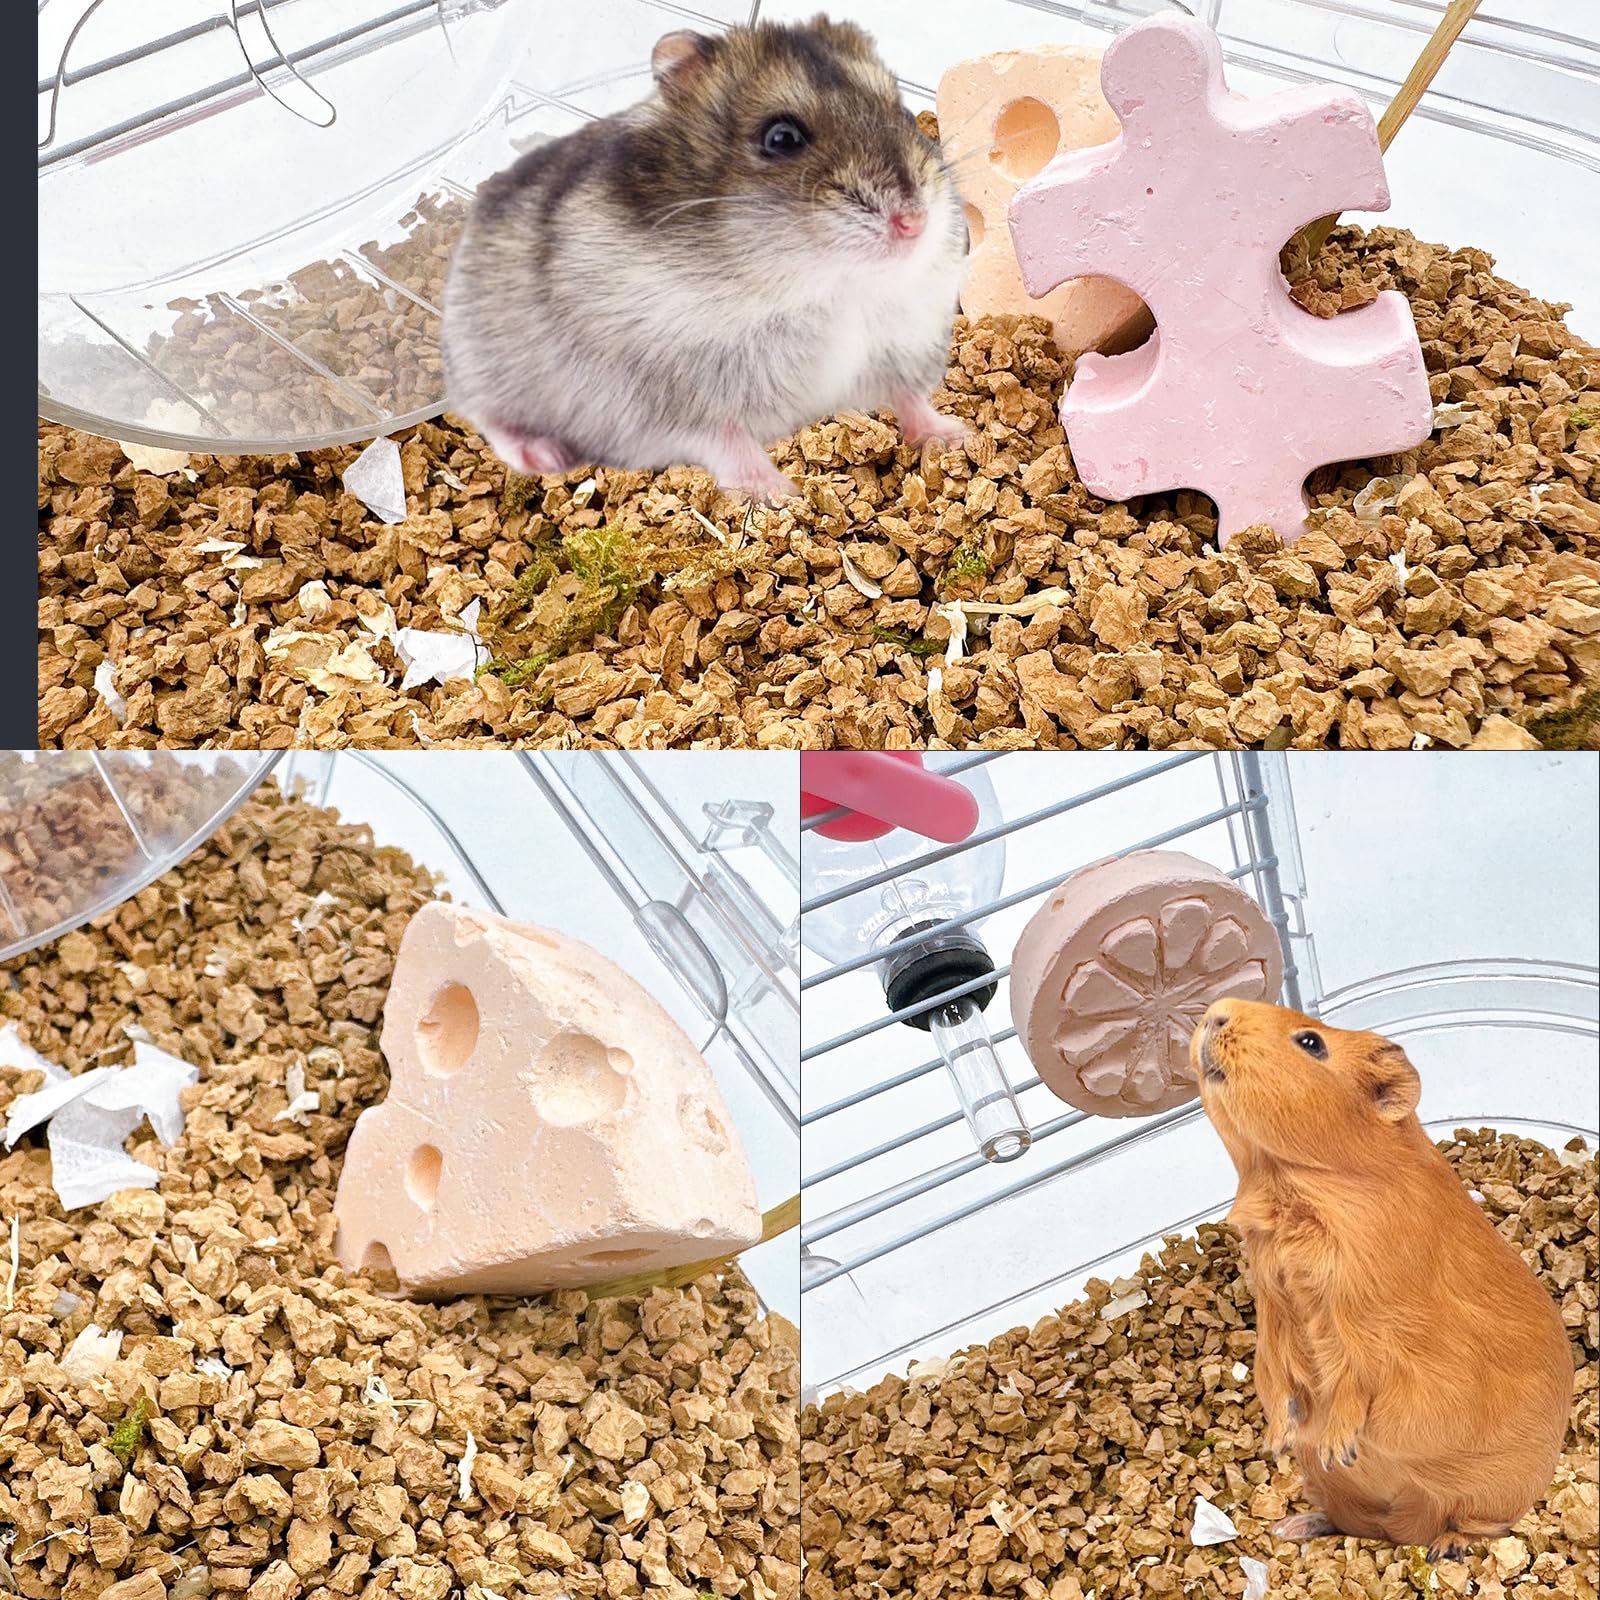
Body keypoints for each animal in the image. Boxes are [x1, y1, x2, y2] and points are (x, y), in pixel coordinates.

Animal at [442, 15, 969, 499]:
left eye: (904, 114)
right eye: (781, 138)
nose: (914, 222)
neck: (821, 286)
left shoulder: (897, 344)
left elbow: (908, 396)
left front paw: (952, 437)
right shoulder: (675, 395)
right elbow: (726, 437)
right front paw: (779, 491)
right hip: (486, 364)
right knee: (490, 417)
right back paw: (543, 456)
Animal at [1193, 998, 1573, 1563]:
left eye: (1311, 1042)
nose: (1216, 1012)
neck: (1293, 1186)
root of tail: (1404, 1526)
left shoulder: (1373, 1332)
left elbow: (1353, 1382)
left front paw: (1337, 1447)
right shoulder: (1275, 1312)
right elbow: (1274, 1375)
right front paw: (1278, 1440)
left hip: (1491, 1494)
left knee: (1481, 1526)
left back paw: (1443, 1549)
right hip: (1343, 1497)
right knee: (1350, 1522)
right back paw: (1294, 1526)